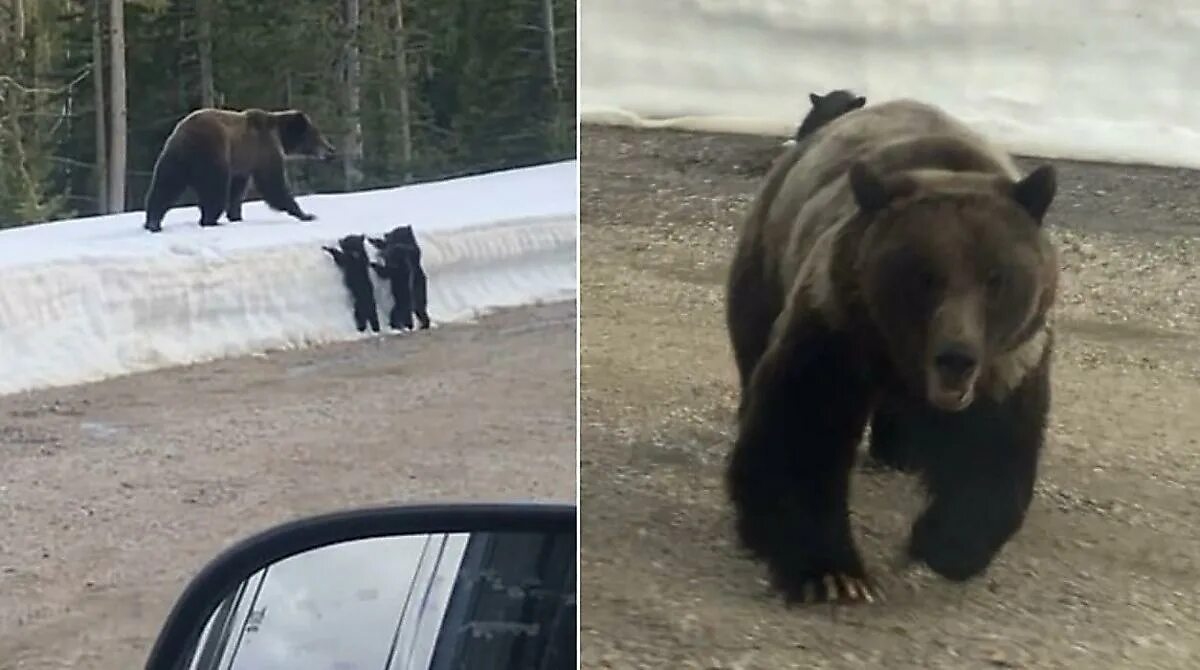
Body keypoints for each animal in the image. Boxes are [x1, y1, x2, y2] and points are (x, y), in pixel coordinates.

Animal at [143, 107, 336, 234]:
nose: (331, 150)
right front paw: (306, 214)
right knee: (214, 190)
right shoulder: (263, 151)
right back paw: (210, 220)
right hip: (212, 154)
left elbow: (238, 189)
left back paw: (153, 222)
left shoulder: (243, 163)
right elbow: (273, 183)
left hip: (174, 160)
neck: (280, 136)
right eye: (316, 134)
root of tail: (185, 136)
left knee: (164, 188)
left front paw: (236, 216)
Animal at [720, 100, 1060, 609]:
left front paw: (944, 546)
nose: (956, 357)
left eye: (995, 278)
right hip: (768, 256)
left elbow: (993, 455)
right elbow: (801, 433)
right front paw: (834, 575)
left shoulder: (1010, 361)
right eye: (925, 276)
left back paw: (901, 452)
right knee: (753, 341)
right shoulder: (837, 330)